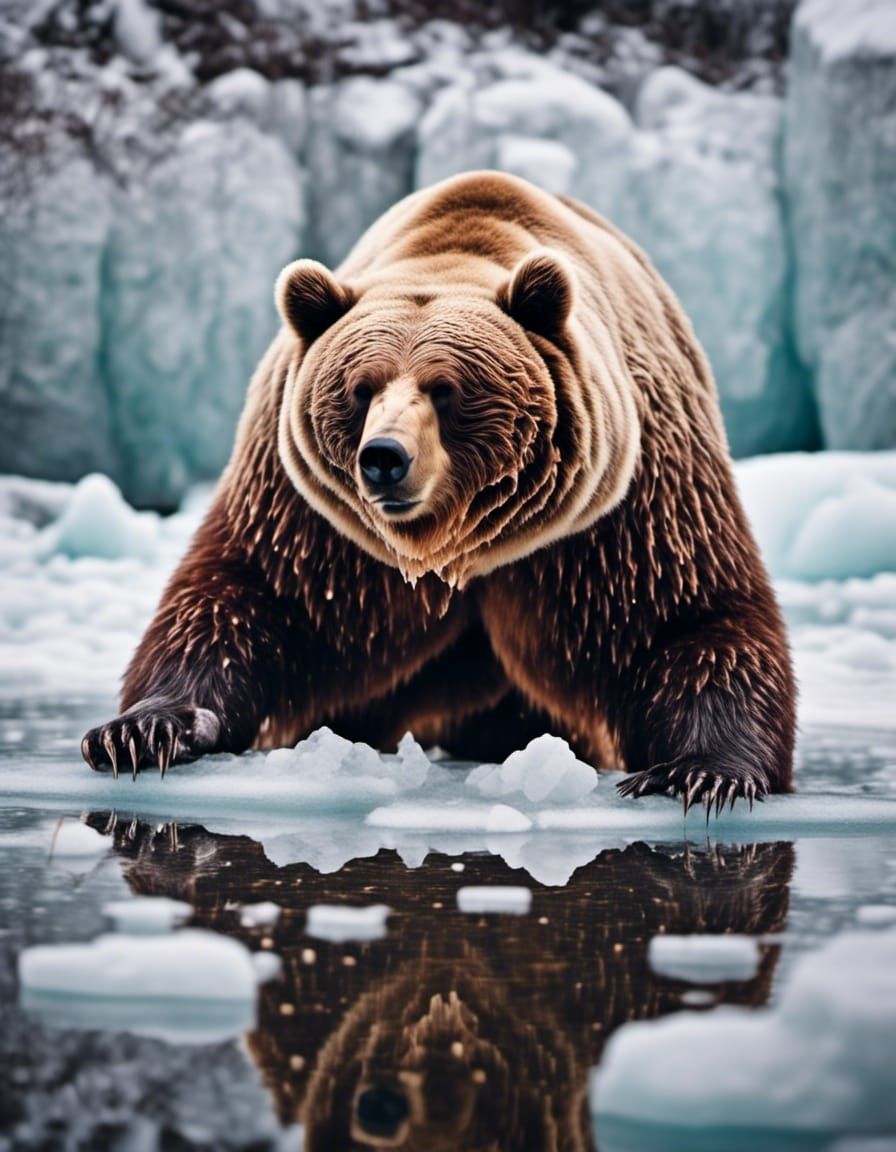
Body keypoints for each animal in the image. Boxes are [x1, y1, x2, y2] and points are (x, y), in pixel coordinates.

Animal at [81, 170, 795, 810]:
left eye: (446, 389)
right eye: (360, 388)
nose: (384, 458)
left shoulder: (623, 509)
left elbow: (686, 616)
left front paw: (700, 770)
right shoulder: (313, 524)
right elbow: (243, 596)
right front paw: (143, 729)